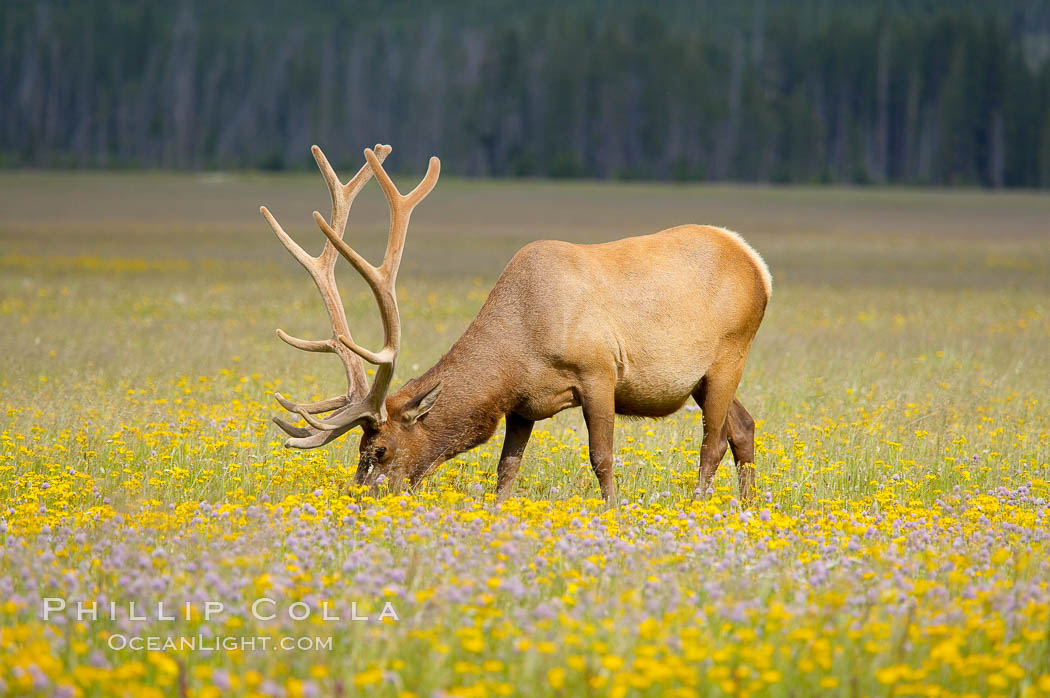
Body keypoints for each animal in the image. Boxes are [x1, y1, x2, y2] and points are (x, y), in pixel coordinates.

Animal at [260, 142, 772, 501]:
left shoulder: (599, 373)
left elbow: (602, 458)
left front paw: (612, 511)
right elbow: (506, 471)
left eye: (379, 449)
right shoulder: (523, 405)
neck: (521, 346)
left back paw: (701, 504)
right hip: (702, 377)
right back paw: (744, 506)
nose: (359, 496)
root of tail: (758, 264)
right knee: (743, 427)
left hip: (731, 353)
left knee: (712, 443)